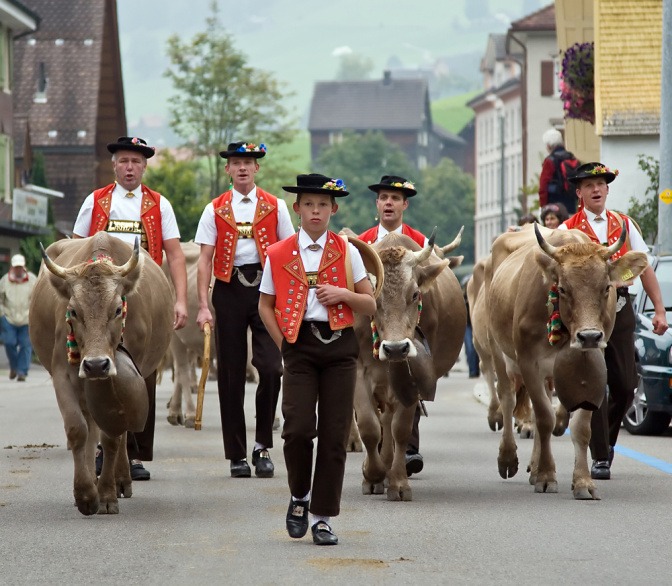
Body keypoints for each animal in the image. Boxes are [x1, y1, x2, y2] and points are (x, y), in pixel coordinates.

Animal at [29, 230, 172, 512]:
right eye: (73, 311)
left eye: (117, 309)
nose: (96, 364)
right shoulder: (63, 375)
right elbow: (78, 429)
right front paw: (85, 494)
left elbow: (112, 438)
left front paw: (106, 495)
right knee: (90, 426)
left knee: (118, 433)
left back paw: (121, 480)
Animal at [486, 224, 648, 498]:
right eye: (562, 288)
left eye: (606, 287)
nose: (589, 336)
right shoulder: (529, 363)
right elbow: (544, 418)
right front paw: (547, 477)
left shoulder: (592, 363)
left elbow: (581, 427)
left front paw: (582, 482)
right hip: (497, 349)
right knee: (507, 400)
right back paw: (508, 459)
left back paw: (534, 466)